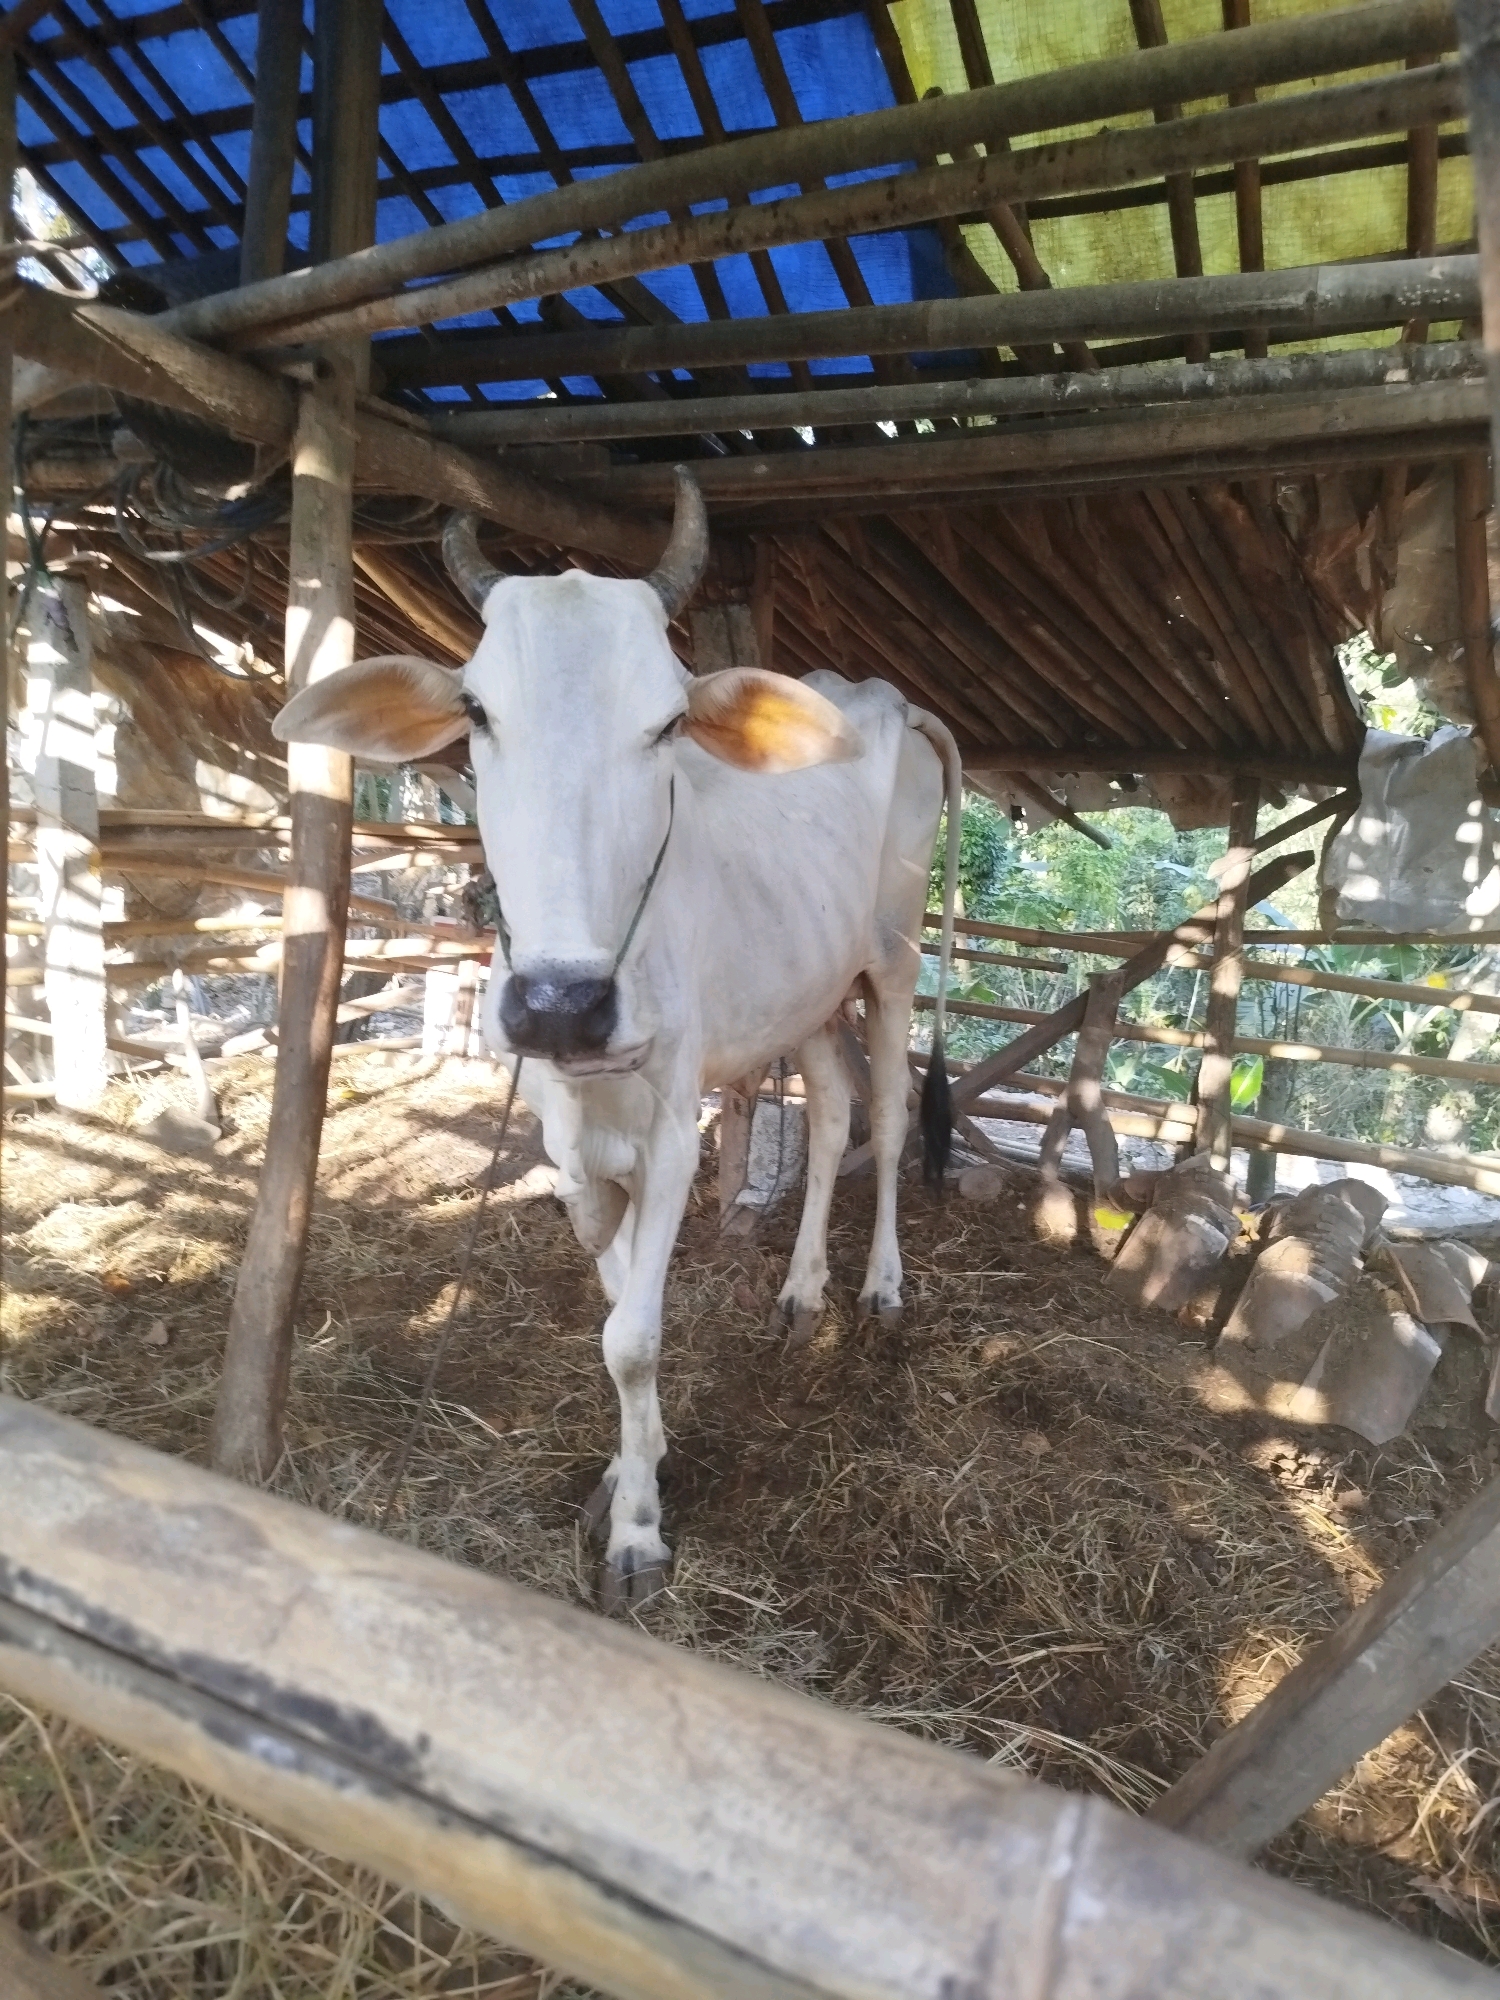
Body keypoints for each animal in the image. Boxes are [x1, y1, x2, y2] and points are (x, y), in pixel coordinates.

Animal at [274, 468, 960, 1606]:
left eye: (668, 722)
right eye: (477, 711)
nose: (563, 1003)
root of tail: (881, 698)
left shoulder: (675, 1128)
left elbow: (632, 1336)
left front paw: (639, 1528)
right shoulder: (567, 1135)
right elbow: (608, 1297)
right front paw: (640, 1458)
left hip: (894, 957)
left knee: (897, 1110)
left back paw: (880, 1285)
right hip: (809, 995)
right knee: (831, 1113)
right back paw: (801, 1290)